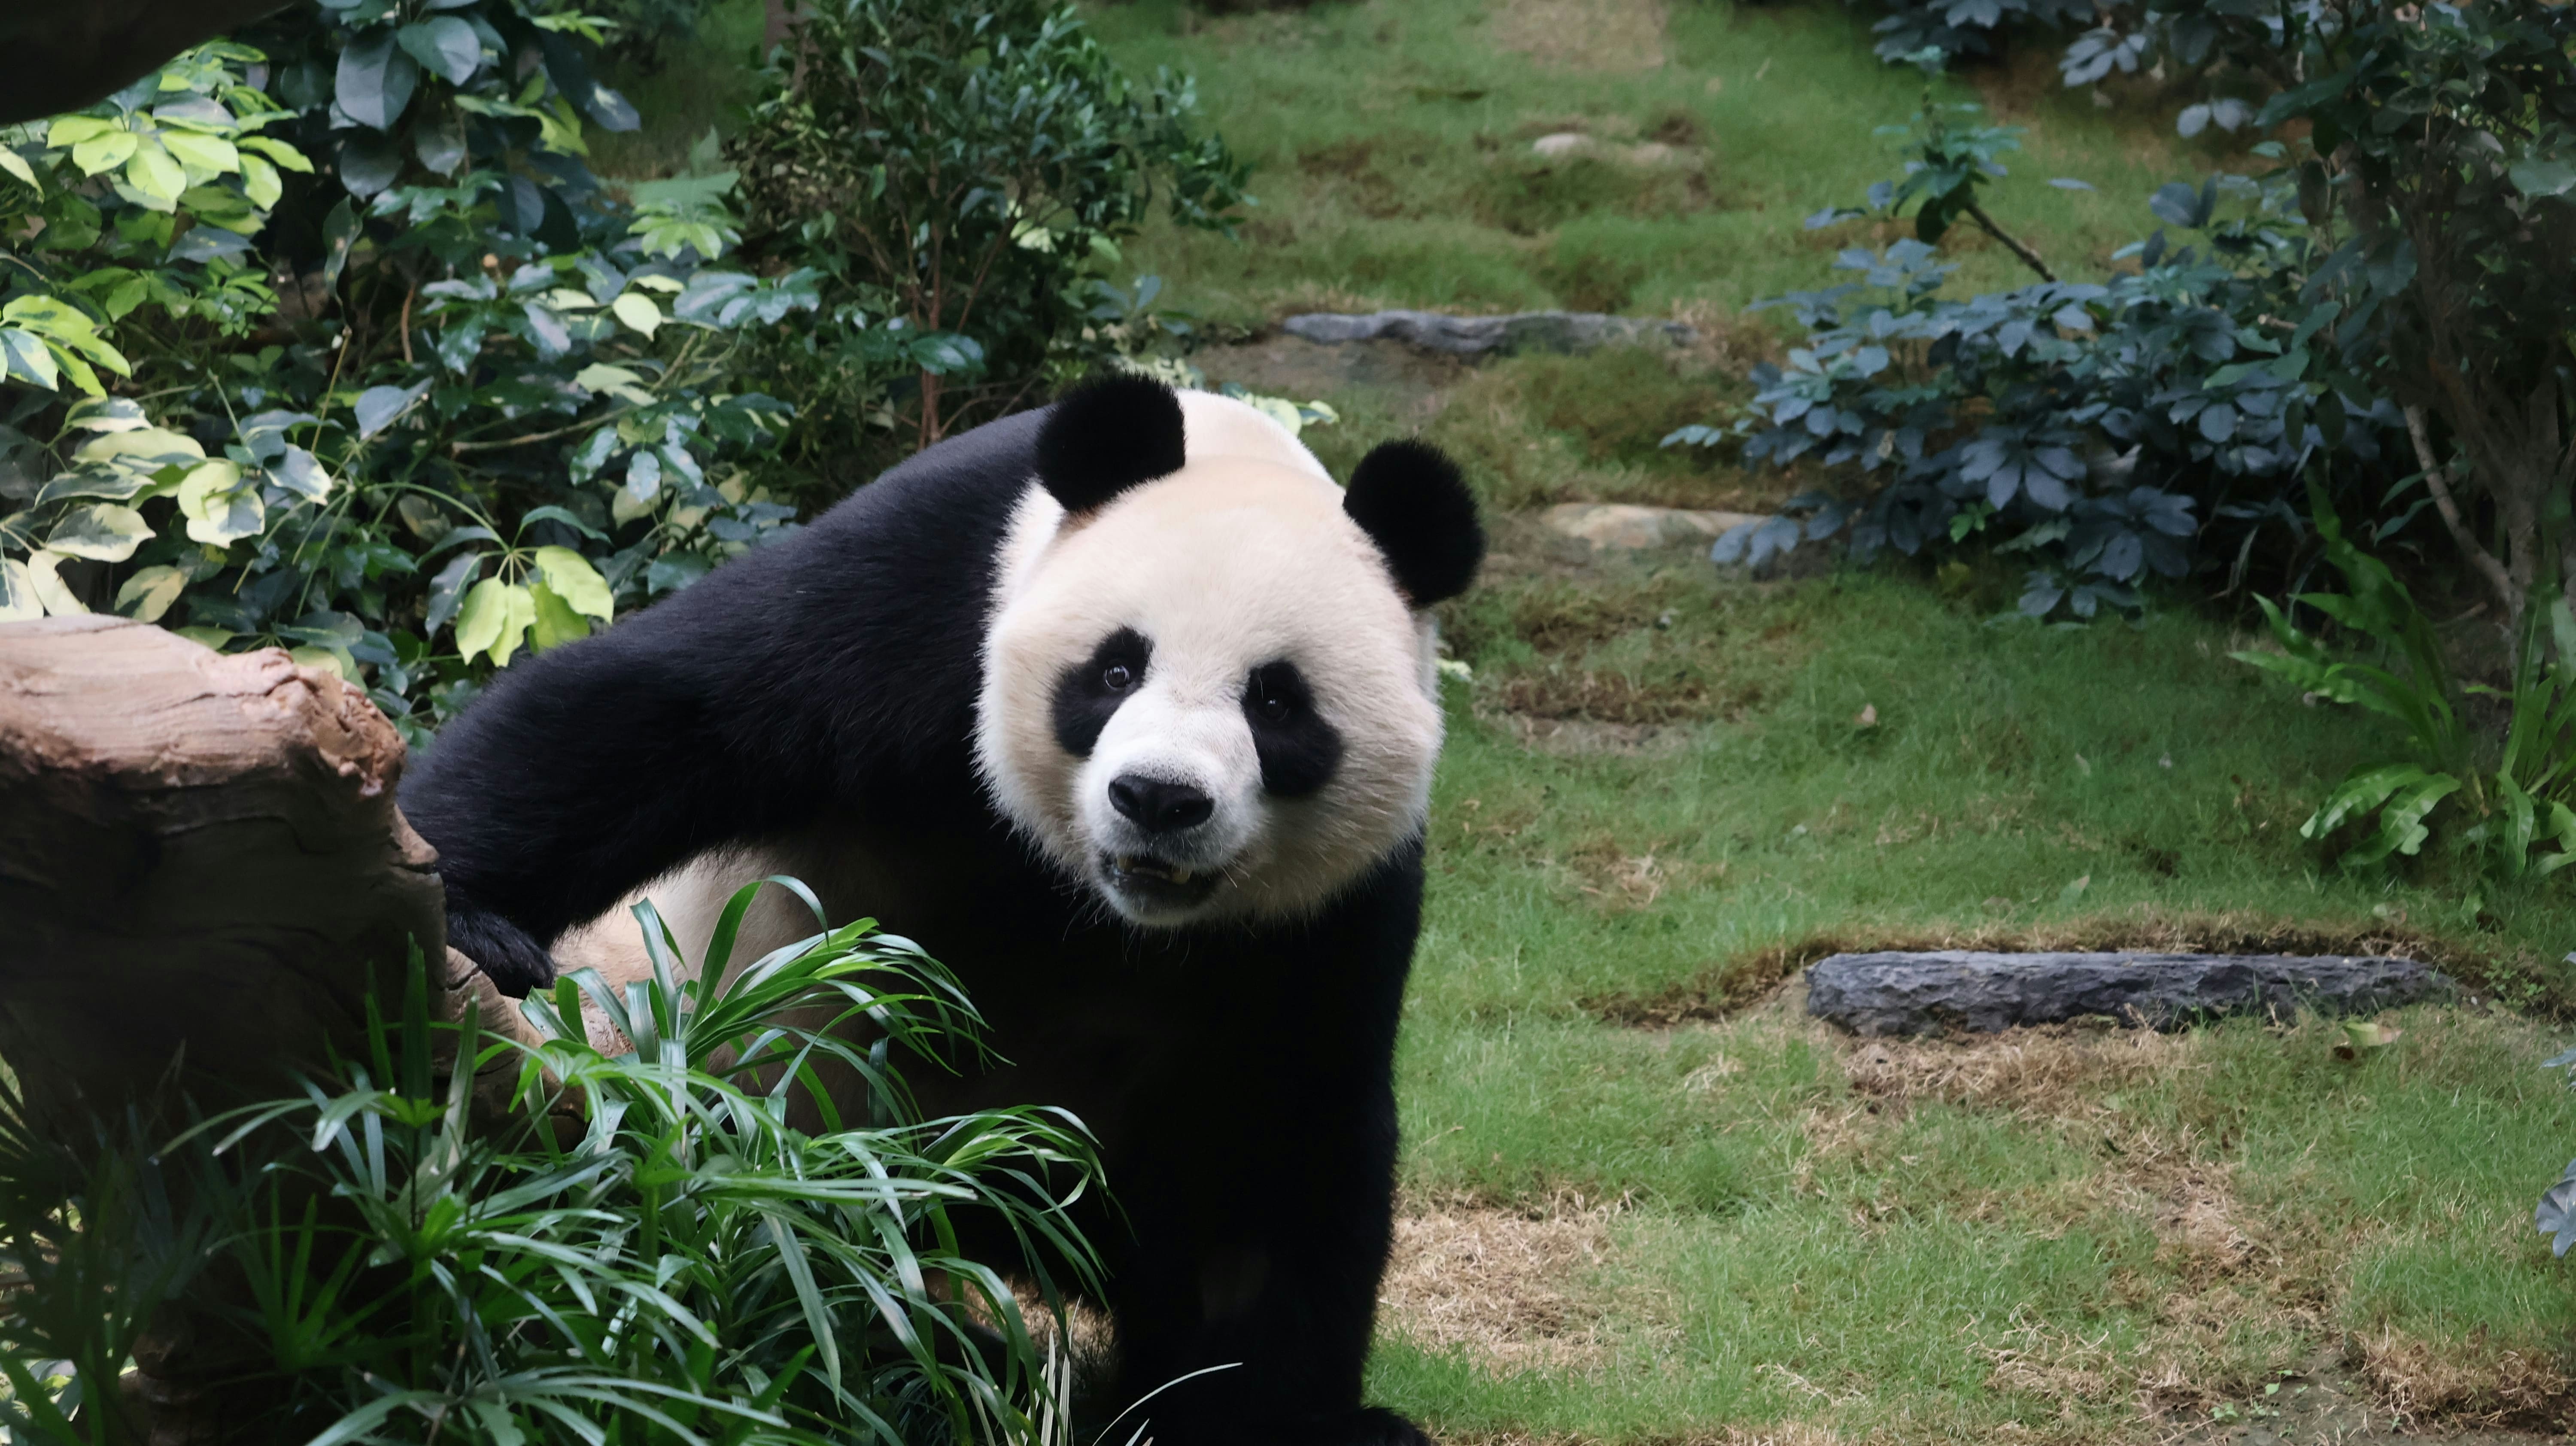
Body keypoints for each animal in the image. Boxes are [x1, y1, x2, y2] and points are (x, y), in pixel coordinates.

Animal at [402, 374, 1494, 1443]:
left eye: (1276, 701)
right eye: (1115, 669)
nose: (1158, 798)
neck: (1092, 904)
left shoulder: (1326, 914)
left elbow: (1273, 1152)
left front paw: (1262, 1418)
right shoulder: (927, 599)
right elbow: (653, 710)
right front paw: (469, 917)